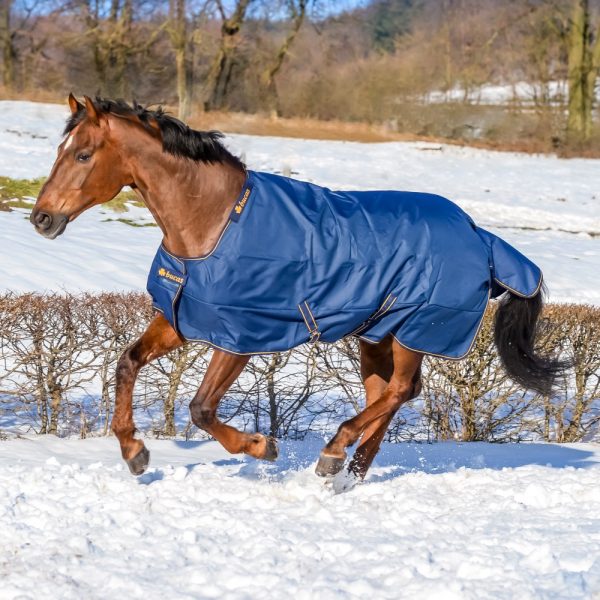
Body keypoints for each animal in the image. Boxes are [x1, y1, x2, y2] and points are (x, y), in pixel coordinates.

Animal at [30, 97, 564, 482]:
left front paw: (261, 446)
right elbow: (126, 362)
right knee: (389, 393)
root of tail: (481, 235)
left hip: (417, 330)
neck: (213, 221)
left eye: (82, 154)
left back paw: (333, 452)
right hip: (377, 334)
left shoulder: (240, 337)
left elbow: (201, 408)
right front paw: (134, 452)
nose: (41, 218)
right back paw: (347, 473)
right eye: (59, 150)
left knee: (400, 391)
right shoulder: (183, 317)